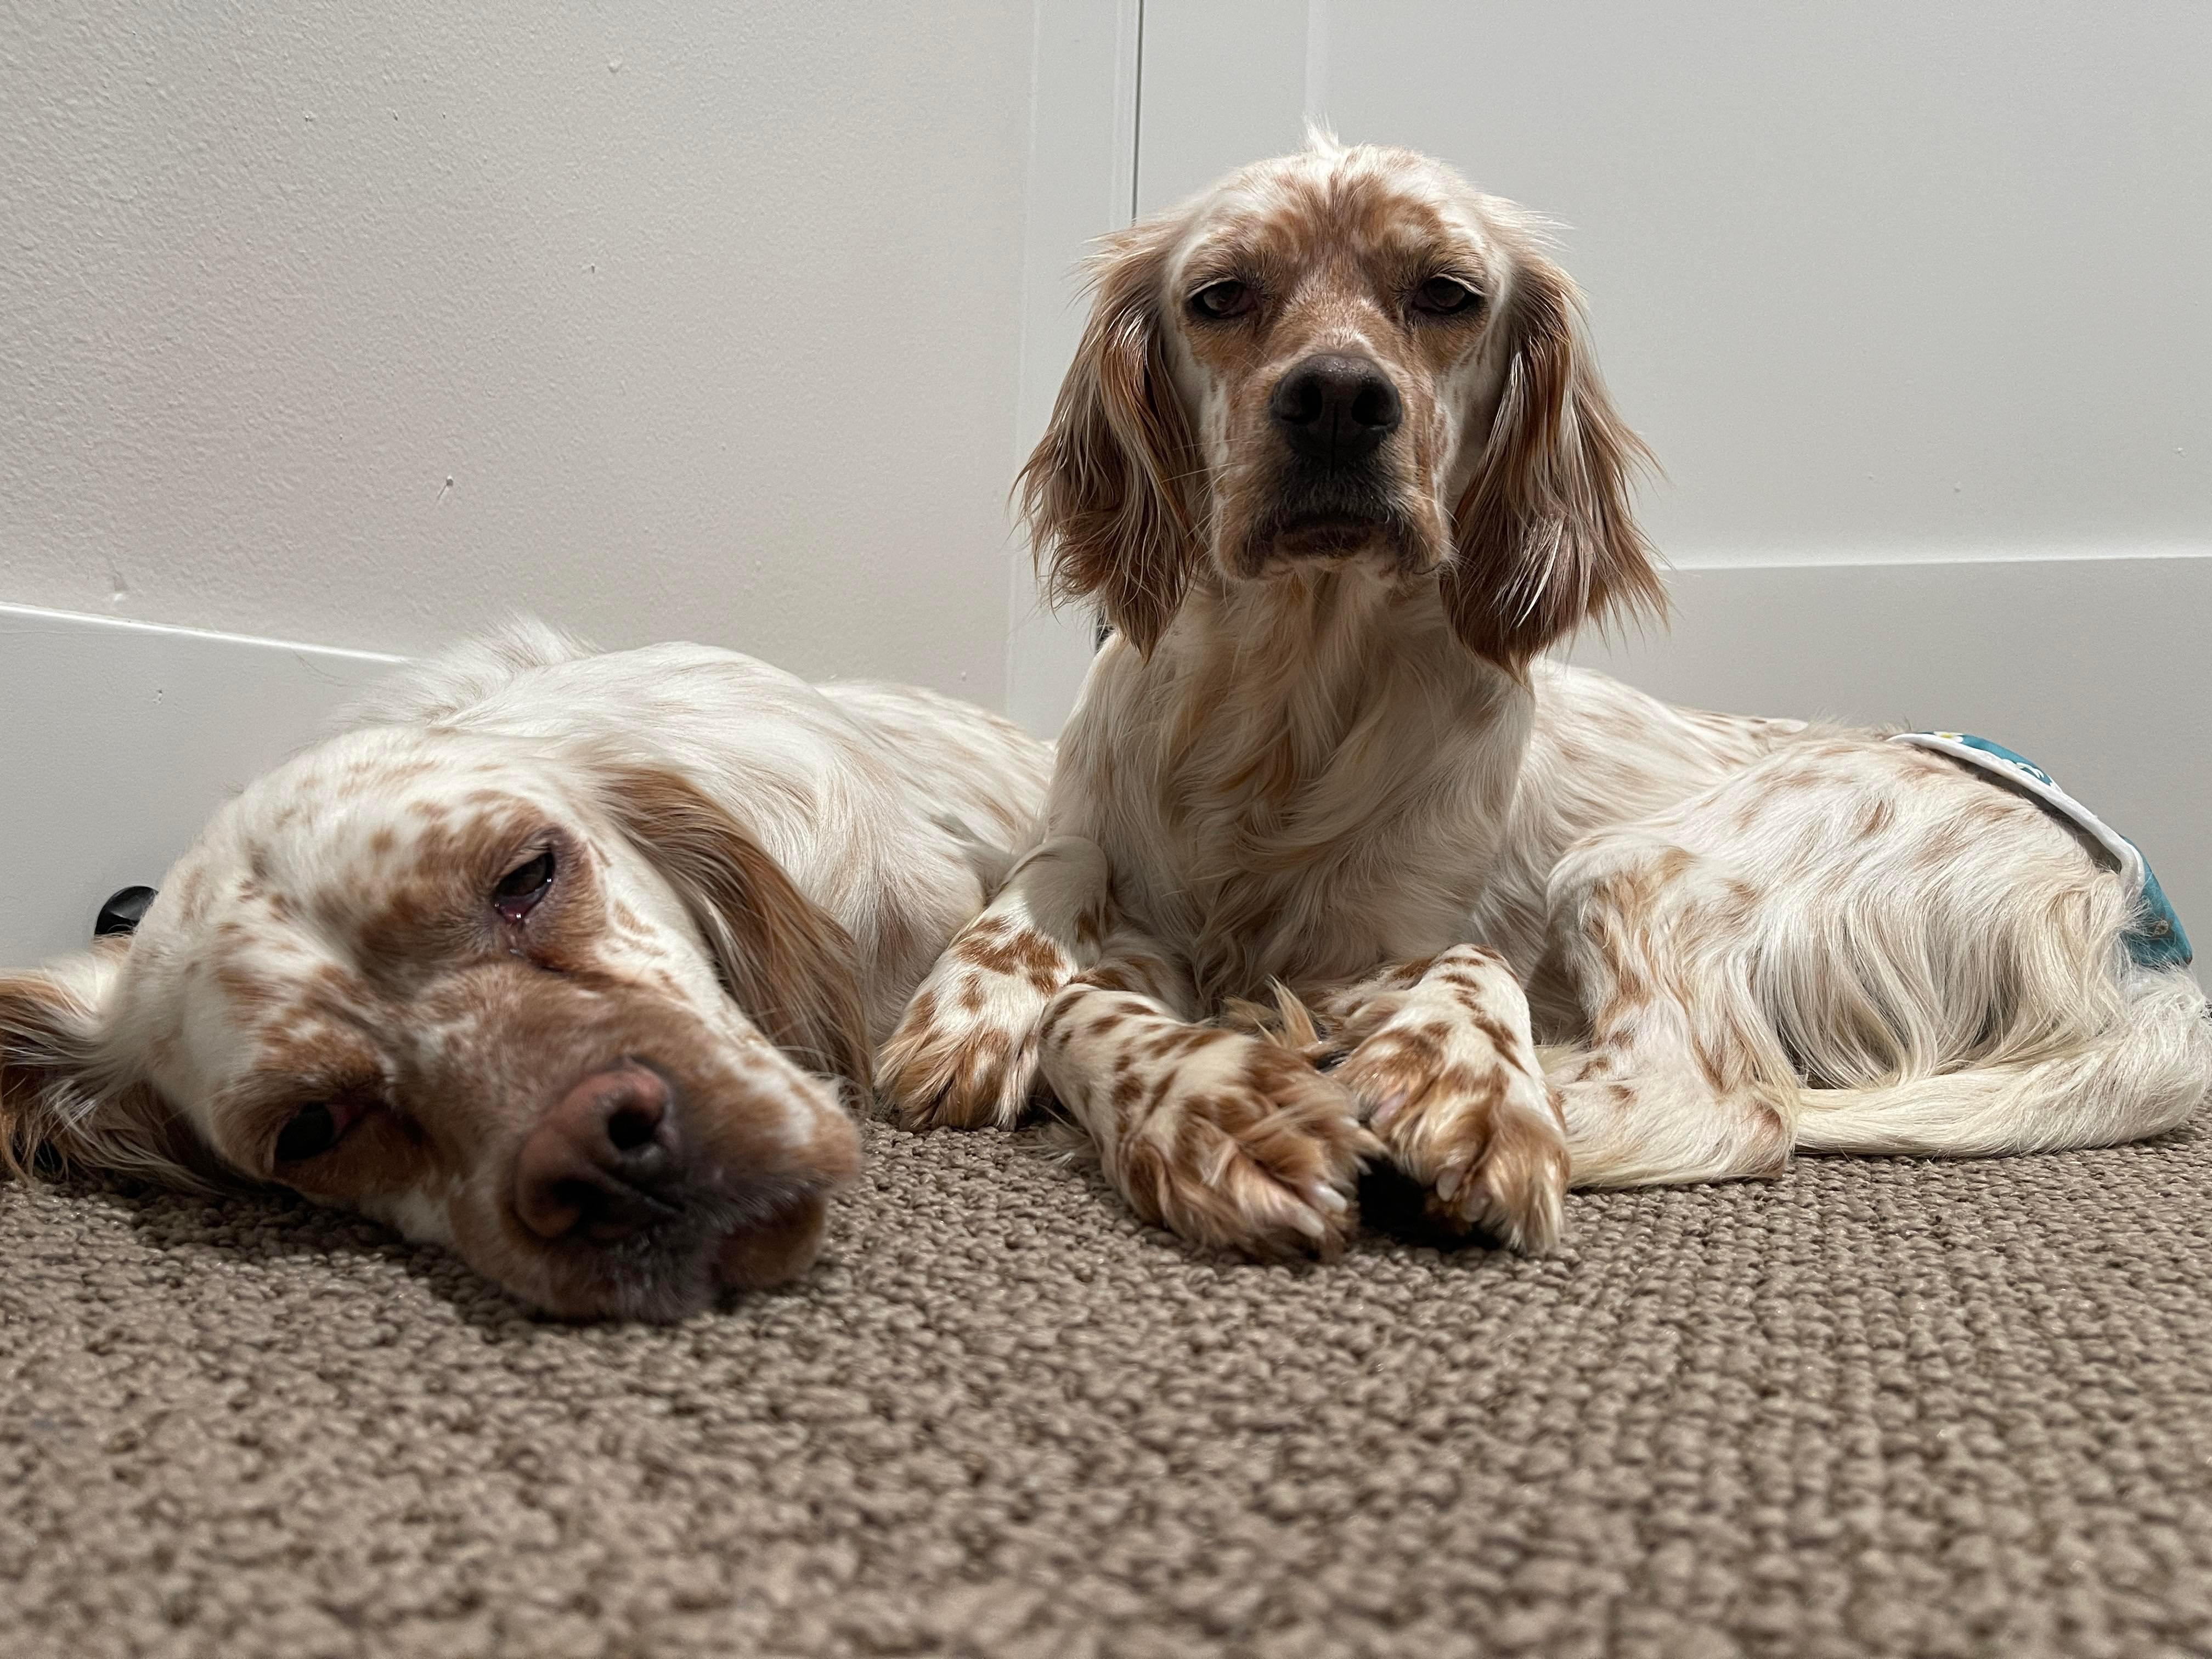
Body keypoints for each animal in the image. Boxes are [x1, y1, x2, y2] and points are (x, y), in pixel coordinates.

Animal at [884, 140, 2212, 1256]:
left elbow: (1460, 974)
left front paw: (1434, 1079)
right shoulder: (1111, 851)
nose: (1338, 400)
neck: (1288, 705)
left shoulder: (1401, 933)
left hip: (1637, 865)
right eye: (1220, 295)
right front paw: (1047, 1031)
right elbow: (1055, 897)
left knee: (1726, 1103)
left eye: (1445, 293)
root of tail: (2129, 918)